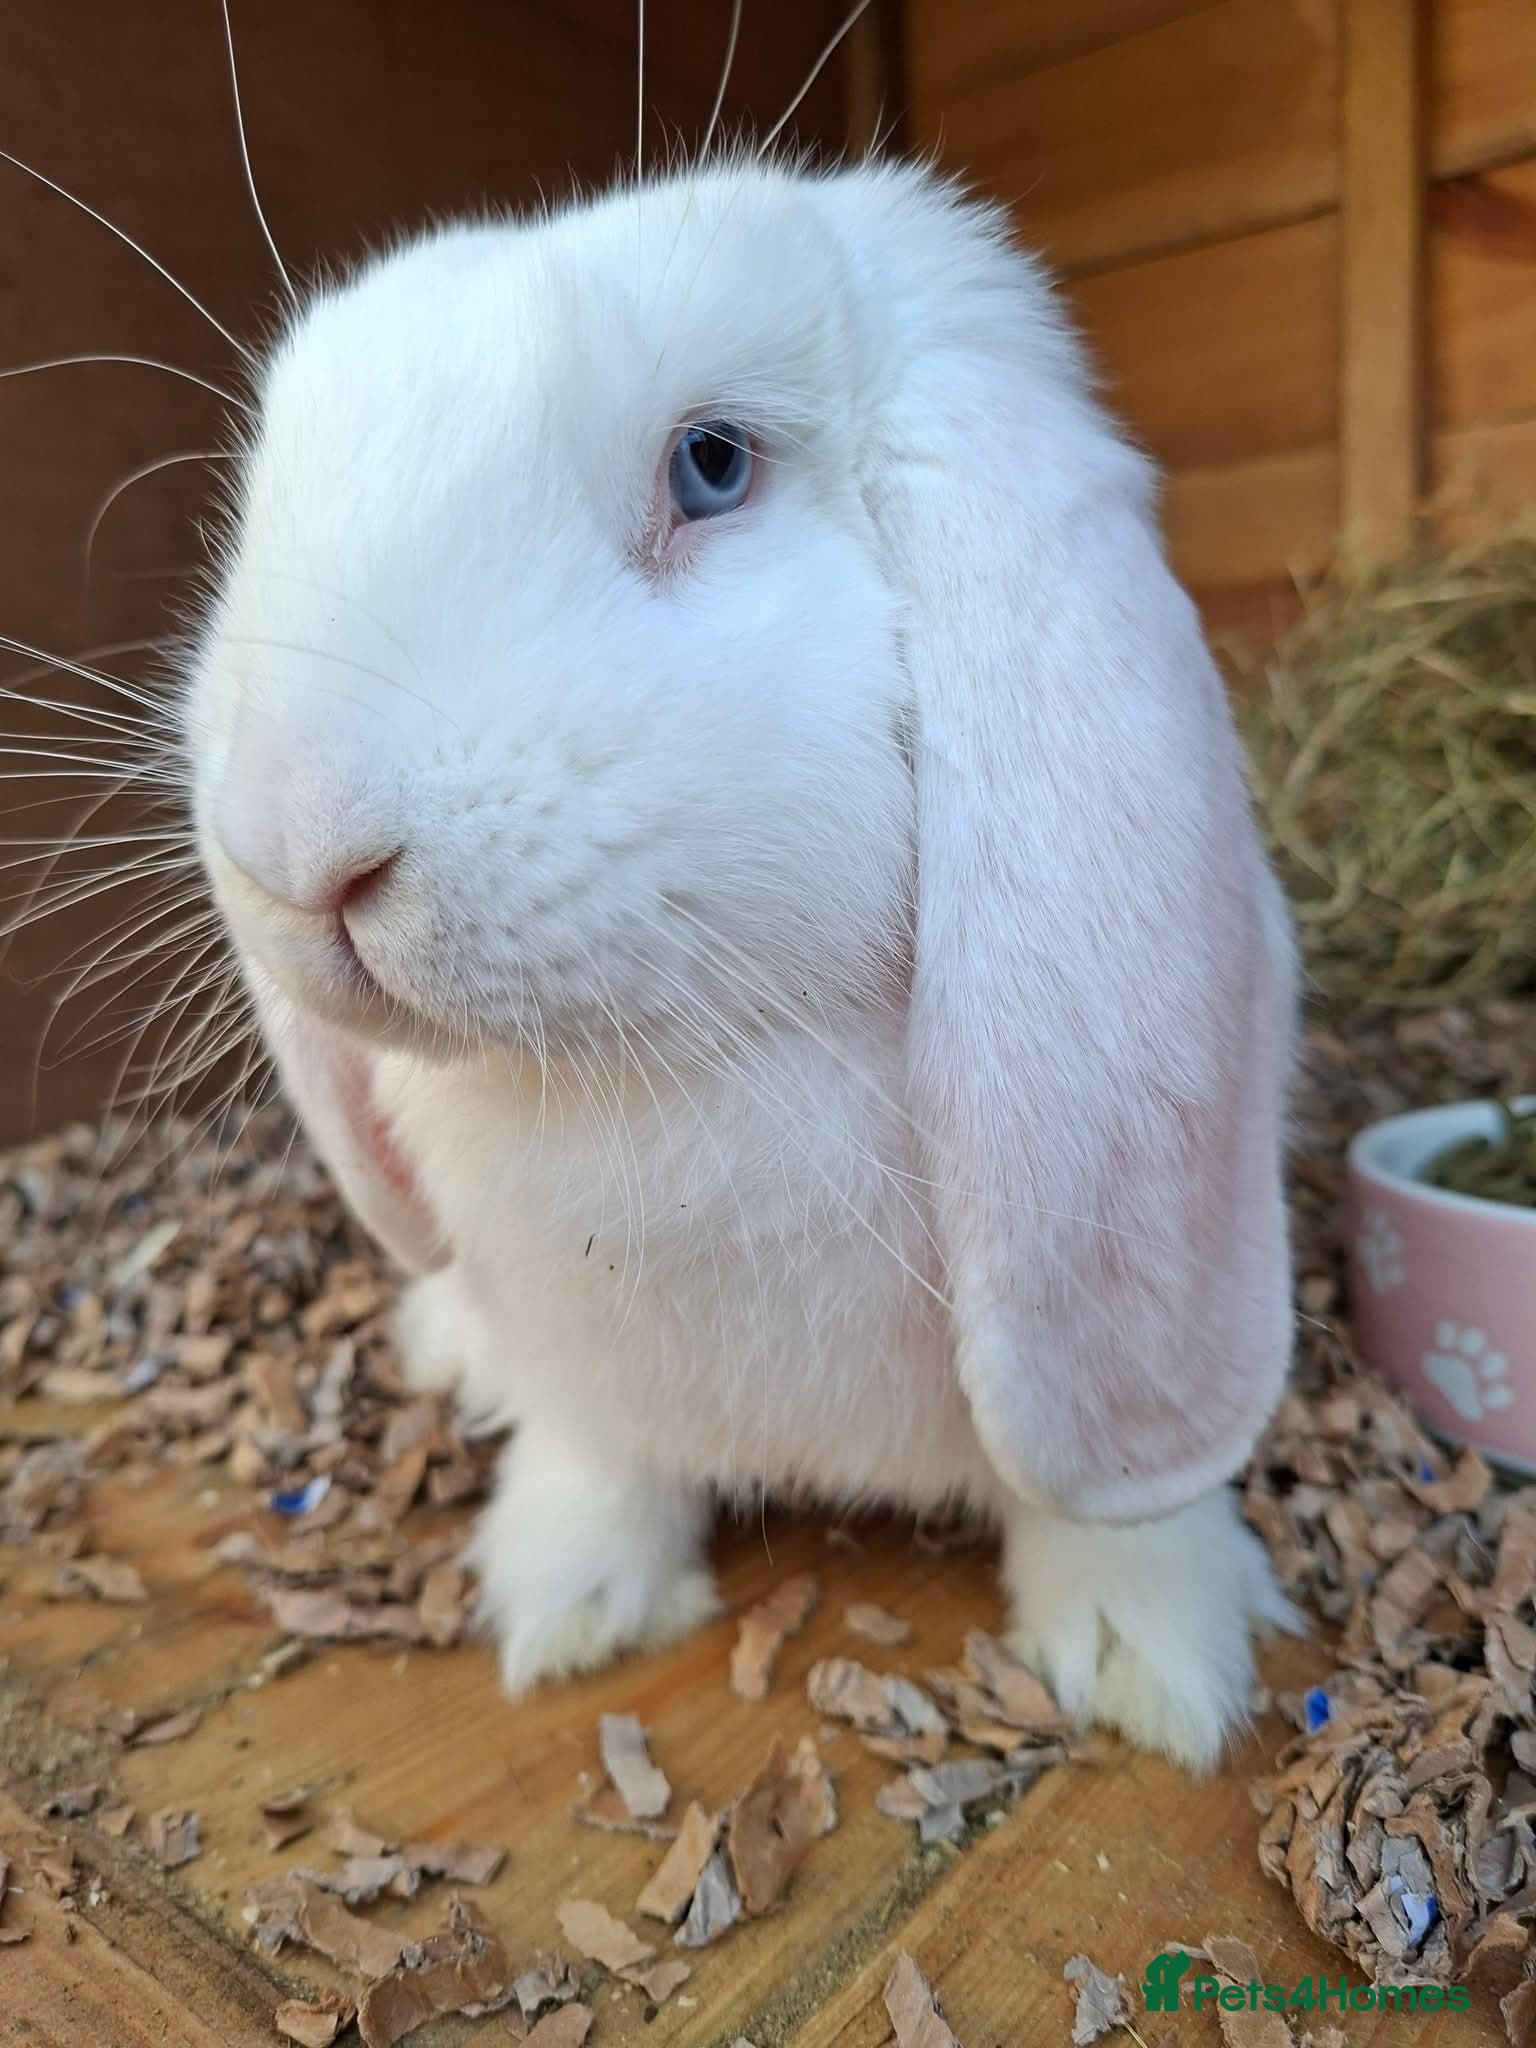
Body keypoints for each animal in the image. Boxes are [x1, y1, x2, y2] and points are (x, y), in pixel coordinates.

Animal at [190, 155, 1301, 1772]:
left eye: (712, 466)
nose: (296, 840)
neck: (676, 1072)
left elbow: (1098, 1492)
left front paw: (1149, 1662)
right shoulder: (585, 1367)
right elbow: (598, 1460)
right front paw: (570, 1604)